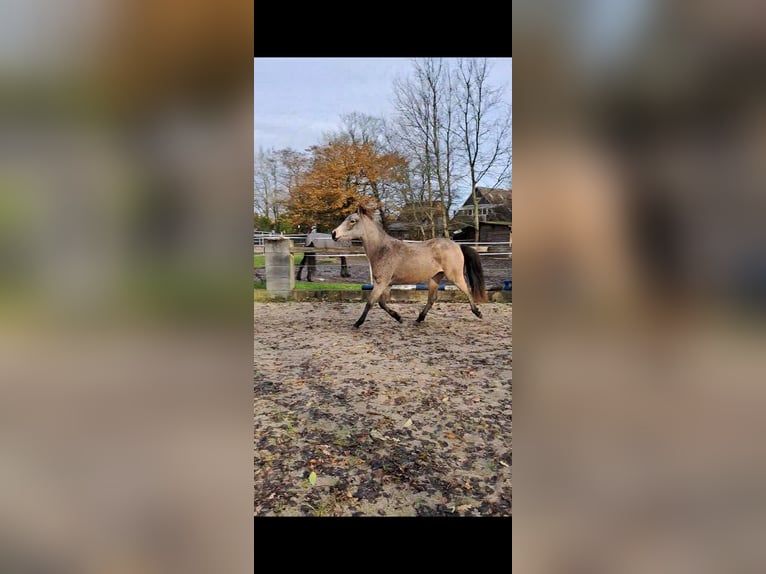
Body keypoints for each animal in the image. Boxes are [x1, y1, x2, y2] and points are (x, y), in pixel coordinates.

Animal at [330, 206, 486, 328]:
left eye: (352, 221)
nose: (333, 234)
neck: (382, 249)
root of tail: (457, 245)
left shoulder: (381, 283)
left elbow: (370, 302)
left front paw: (358, 323)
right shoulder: (387, 284)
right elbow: (381, 303)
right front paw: (398, 317)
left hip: (455, 276)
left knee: (467, 291)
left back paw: (478, 313)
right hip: (435, 278)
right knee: (432, 299)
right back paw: (419, 319)